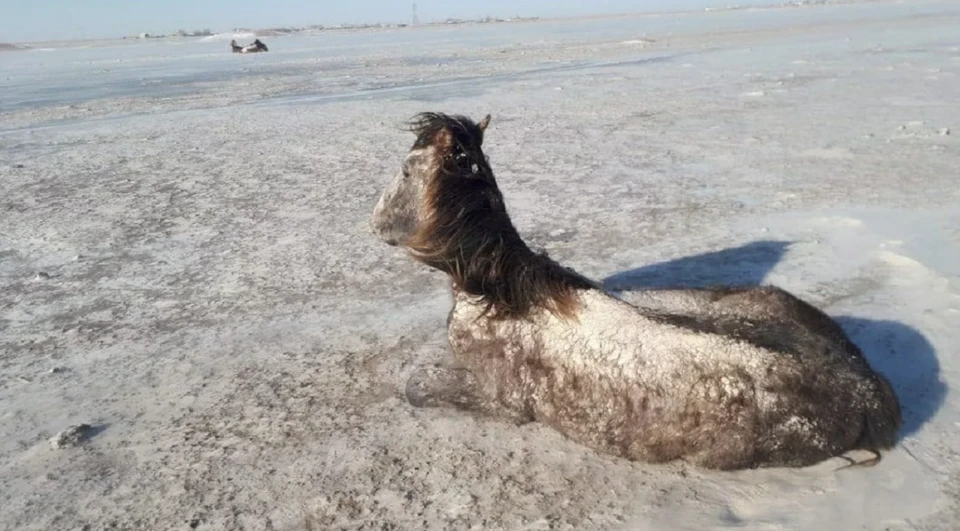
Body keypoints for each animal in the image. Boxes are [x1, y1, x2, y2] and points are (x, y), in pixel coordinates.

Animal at [368, 112, 900, 470]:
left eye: (407, 170)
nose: (373, 224)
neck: (500, 296)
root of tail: (866, 387)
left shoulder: (499, 401)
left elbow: (415, 387)